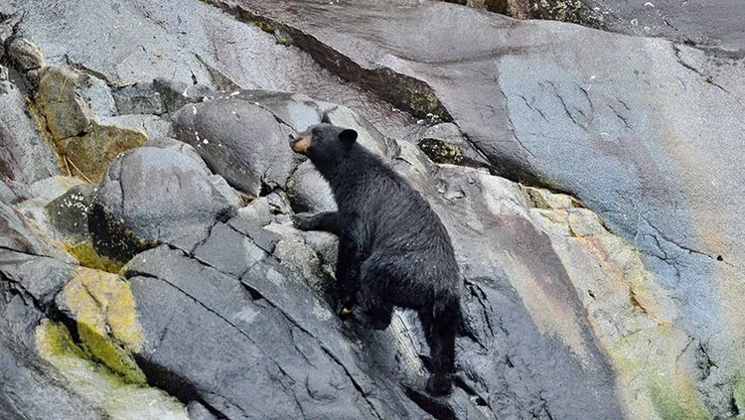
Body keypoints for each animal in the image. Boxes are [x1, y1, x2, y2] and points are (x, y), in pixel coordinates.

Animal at [289, 123, 462, 396]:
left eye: (316, 134)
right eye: (309, 128)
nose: (292, 136)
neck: (353, 176)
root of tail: (441, 289)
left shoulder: (364, 204)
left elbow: (355, 246)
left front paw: (342, 299)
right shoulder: (350, 205)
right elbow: (336, 218)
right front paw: (303, 218)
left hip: (403, 272)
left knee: (374, 277)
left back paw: (364, 314)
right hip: (443, 309)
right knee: (442, 339)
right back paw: (439, 383)